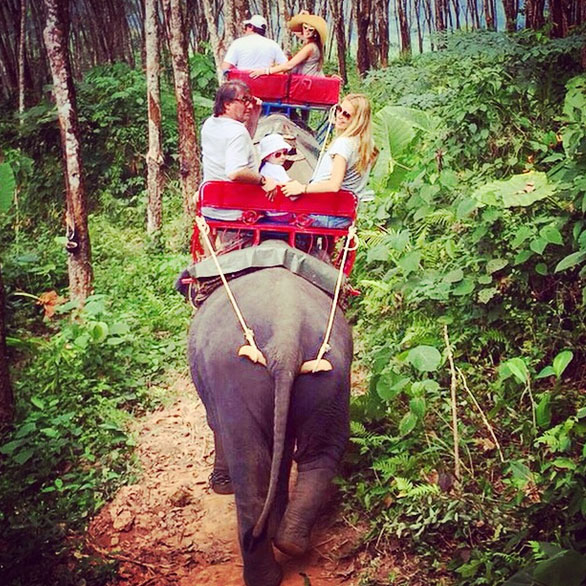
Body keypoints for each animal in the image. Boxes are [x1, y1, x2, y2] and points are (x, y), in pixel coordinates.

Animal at [187, 266, 352, 584]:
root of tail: (286, 335)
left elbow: (215, 423)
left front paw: (220, 485)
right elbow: (284, 446)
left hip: (235, 375)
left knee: (250, 464)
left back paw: (263, 574)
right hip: (332, 376)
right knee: (320, 452)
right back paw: (289, 540)